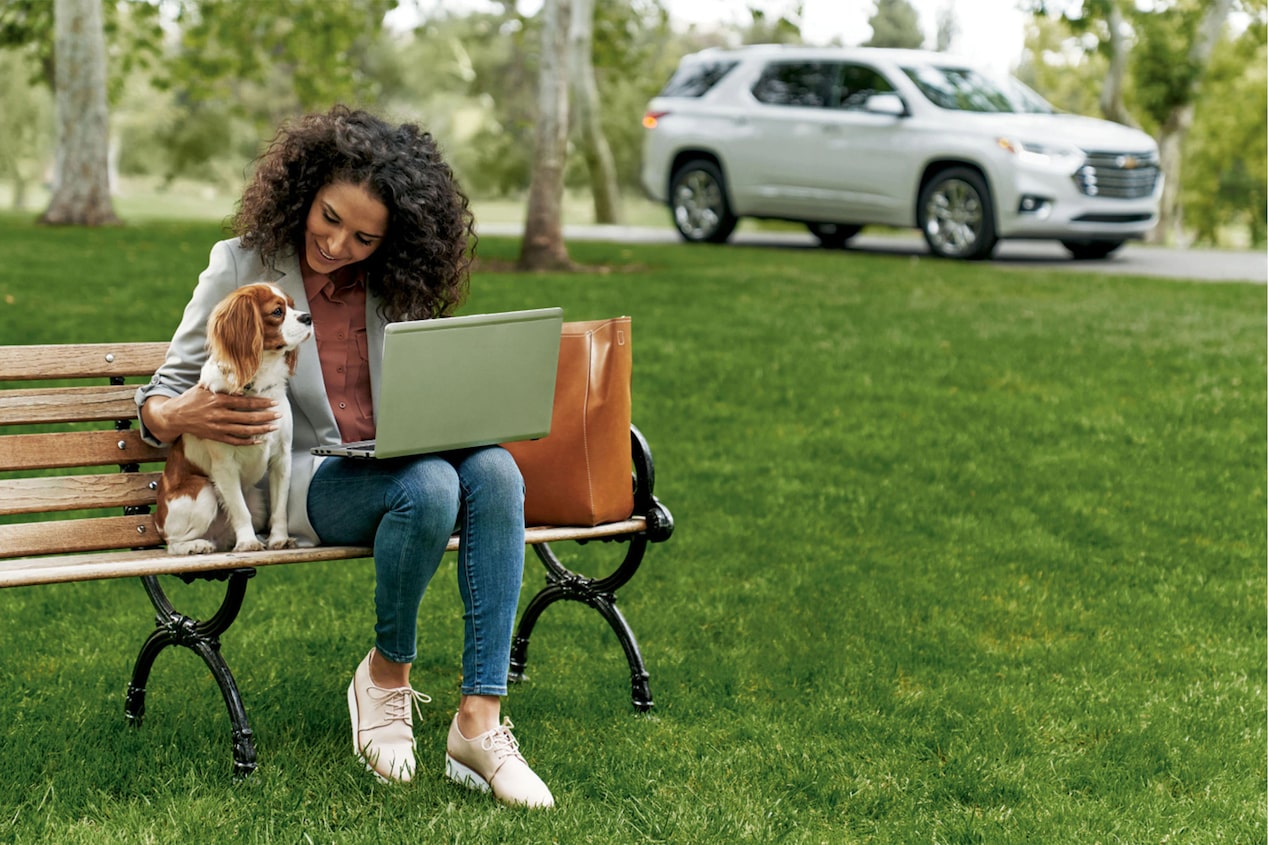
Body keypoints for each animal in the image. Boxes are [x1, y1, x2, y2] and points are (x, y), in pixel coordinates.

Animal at [156, 282, 314, 553]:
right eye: (277, 311)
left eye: (293, 305)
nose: (308, 317)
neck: (257, 381)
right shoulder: (224, 467)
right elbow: (240, 512)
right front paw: (248, 543)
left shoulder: (282, 458)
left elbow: (280, 507)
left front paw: (279, 539)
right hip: (203, 491)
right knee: (172, 544)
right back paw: (196, 546)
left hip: (256, 499)